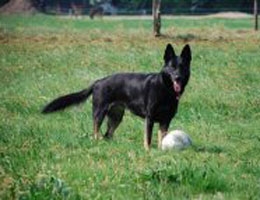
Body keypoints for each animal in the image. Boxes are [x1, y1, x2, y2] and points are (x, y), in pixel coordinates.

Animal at [41, 44, 191, 150]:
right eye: (171, 67)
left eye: (182, 67)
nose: (177, 77)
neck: (165, 88)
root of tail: (98, 82)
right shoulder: (150, 118)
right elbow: (148, 138)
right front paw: (148, 151)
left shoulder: (166, 120)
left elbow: (162, 138)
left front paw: (160, 151)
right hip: (99, 113)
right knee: (96, 132)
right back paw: (97, 143)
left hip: (116, 116)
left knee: (107, 135)